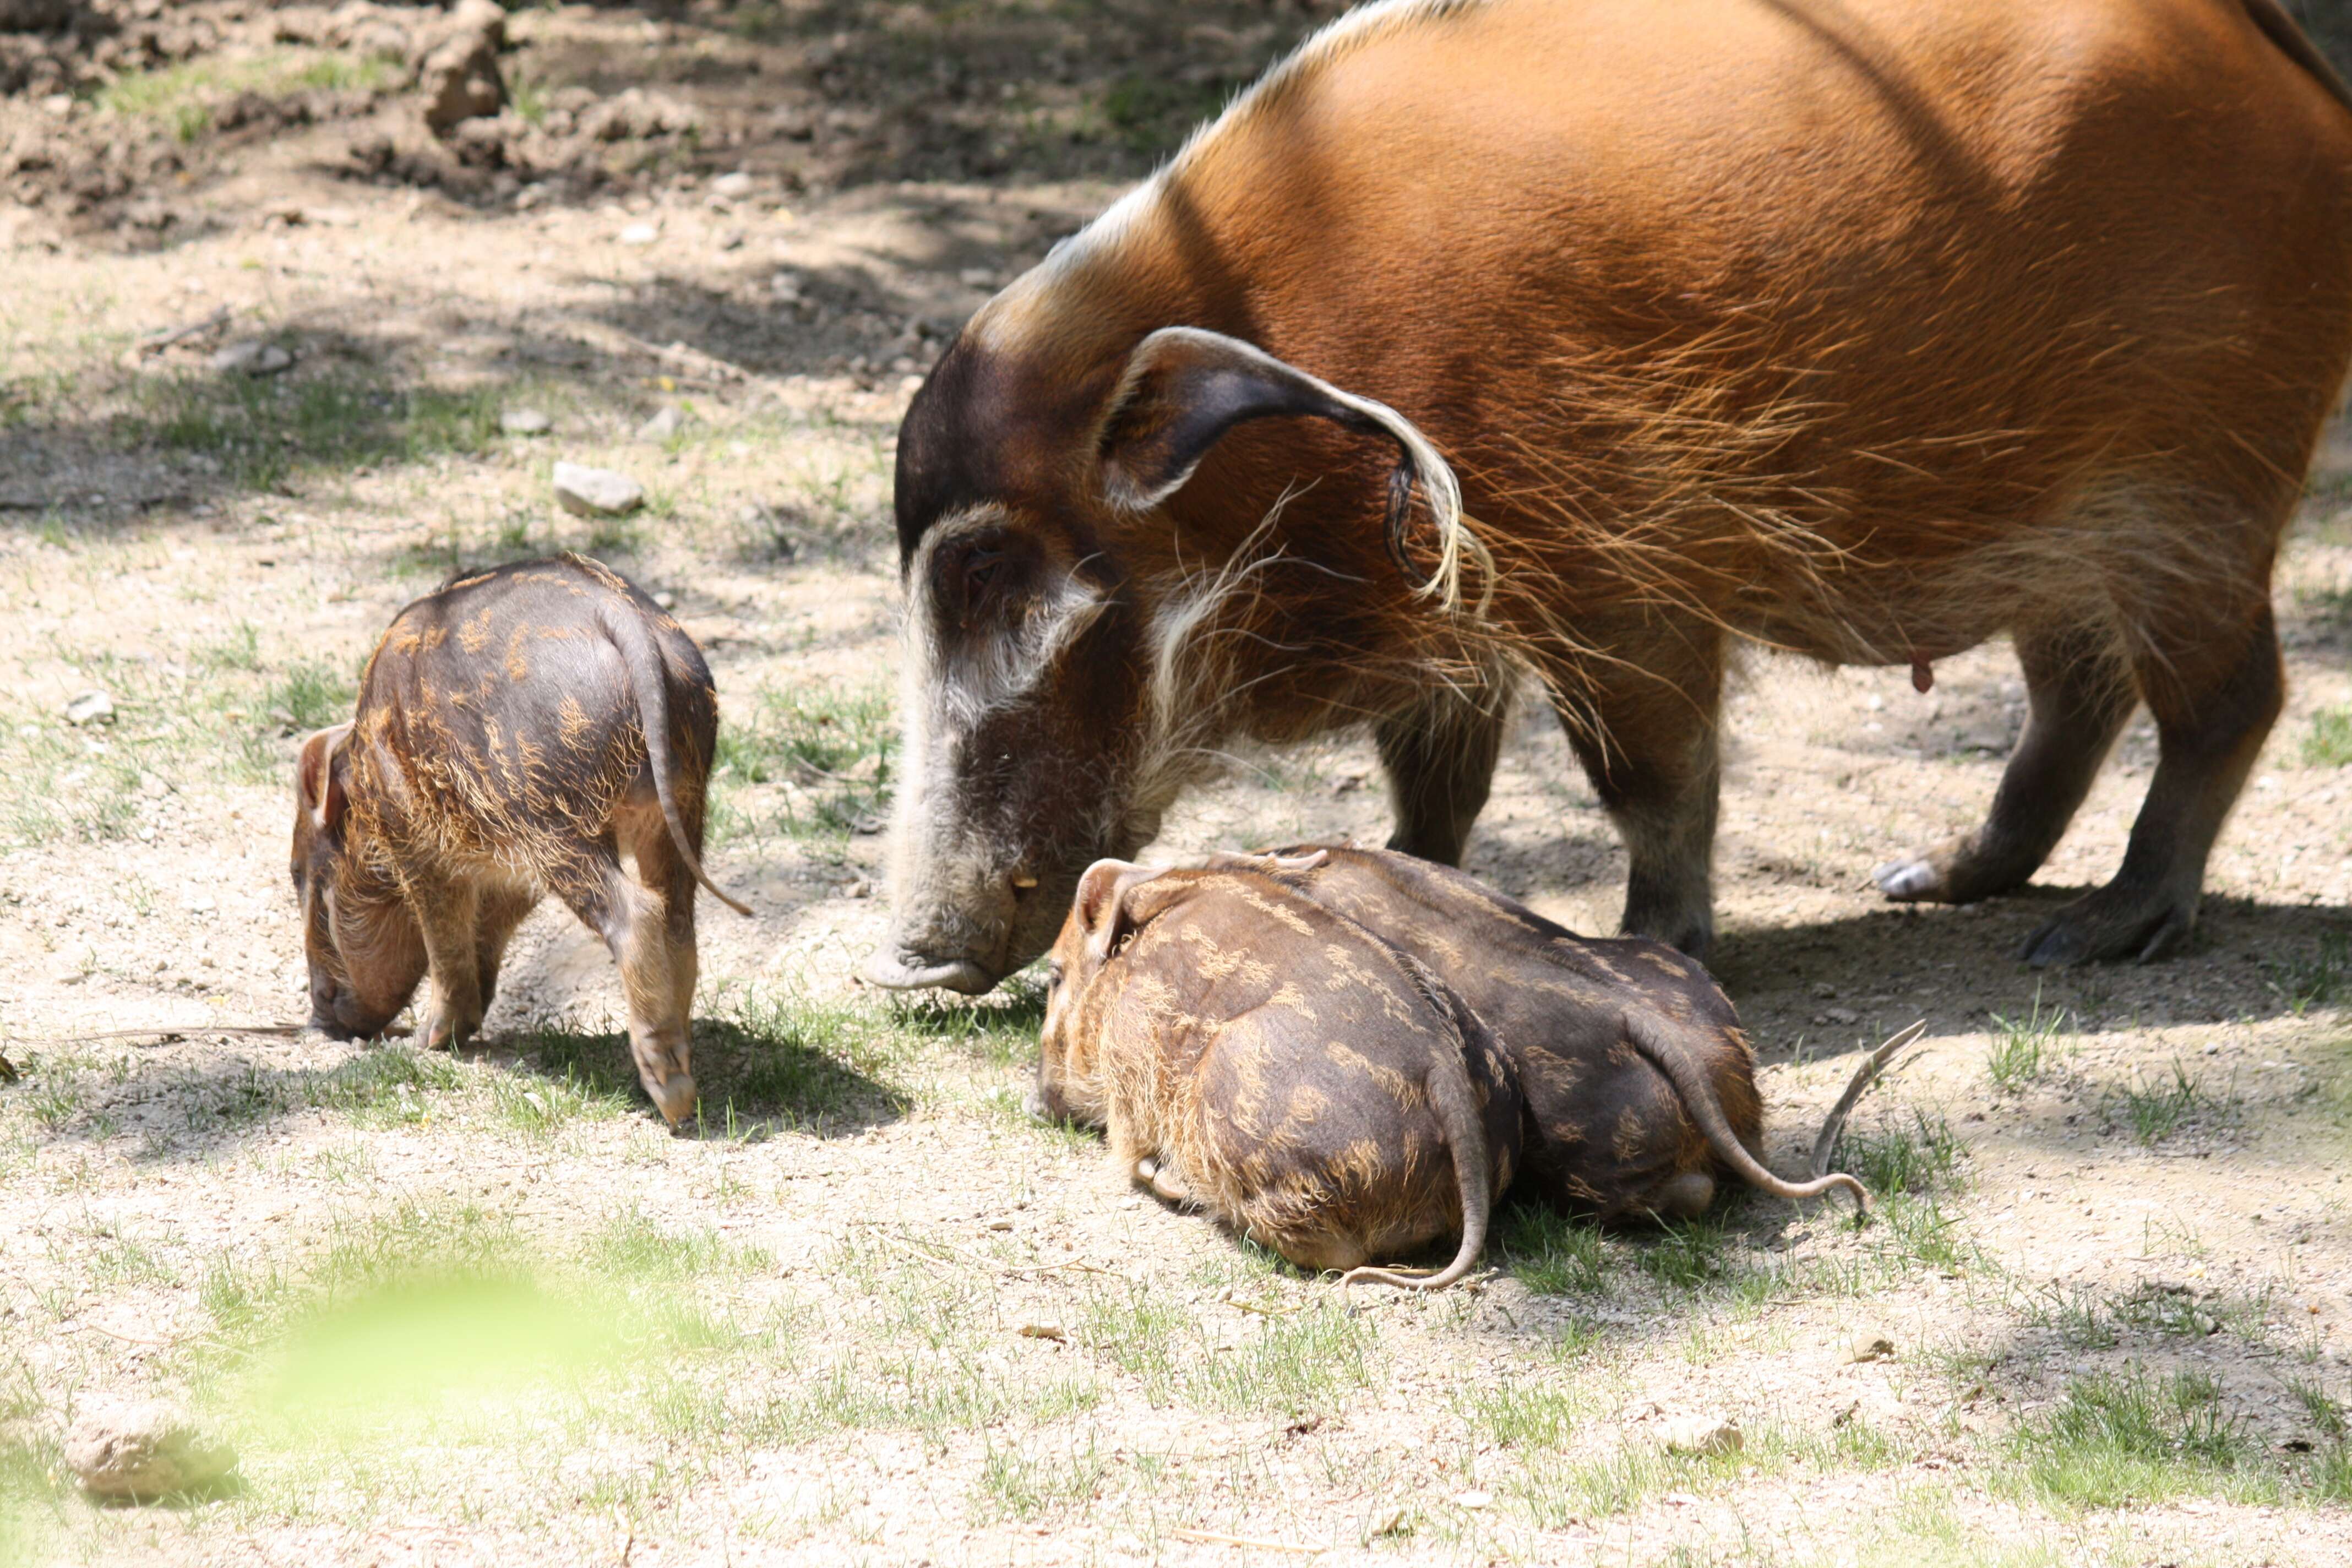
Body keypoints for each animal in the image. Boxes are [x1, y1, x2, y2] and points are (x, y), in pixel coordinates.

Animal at [287, 557, 743, 1123]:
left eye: (300, 875)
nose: (318, 1023)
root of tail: (623, 620)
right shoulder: (505, 874)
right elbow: (484, 938)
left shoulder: (419, 843)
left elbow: (444, 941)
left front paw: (426, 1043)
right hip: (679, 801)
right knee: (677, 919)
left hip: (556, 821)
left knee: (637, 913)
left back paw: (671, 1099)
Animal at [1035, 860, 1515, 1288]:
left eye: (1055, 976)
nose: (1034, 1104)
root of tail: (1443, 1068)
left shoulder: (1130, 1066)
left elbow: (1130, 1143)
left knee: (1334, 1254)